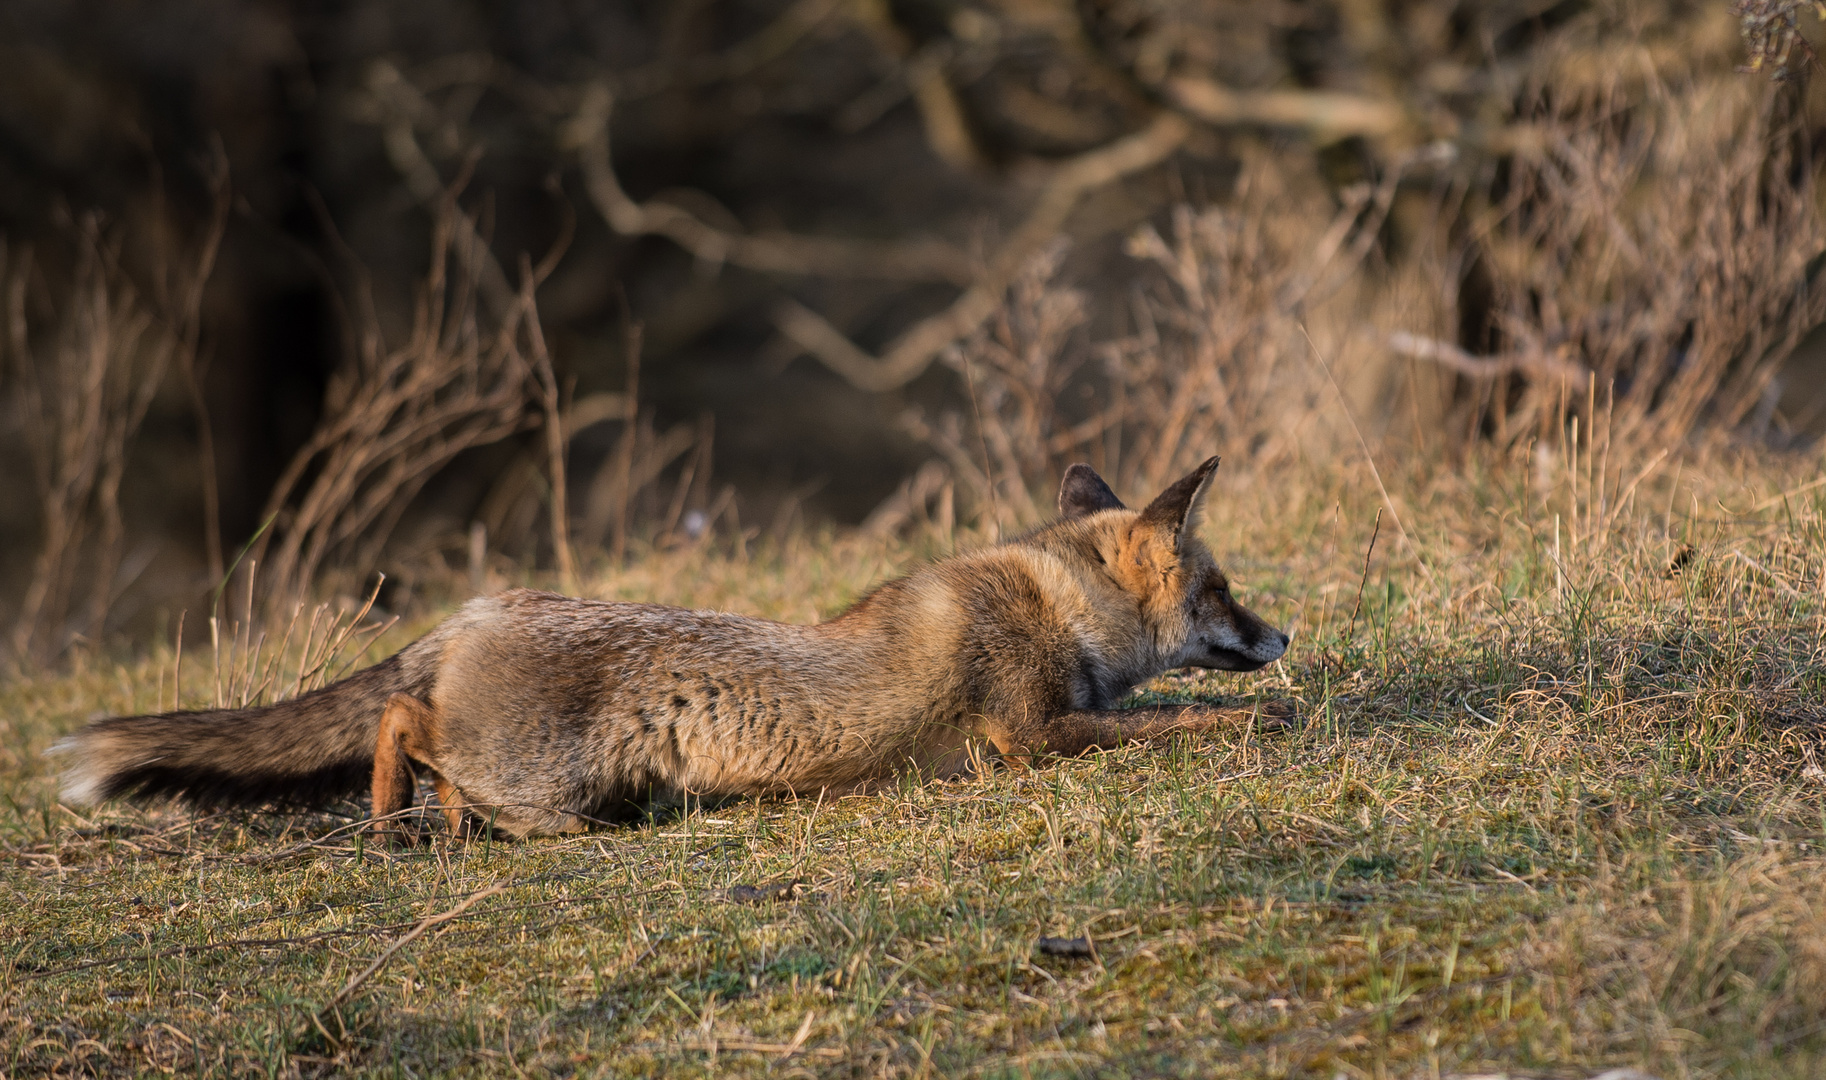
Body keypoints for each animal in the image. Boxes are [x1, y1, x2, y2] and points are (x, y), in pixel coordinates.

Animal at [53, 455, 1285, 836]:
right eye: (1221, 590)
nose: (1282, 633)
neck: (1052, 603)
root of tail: (474, 610)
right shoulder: (1028, 736)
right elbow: (1176, 715)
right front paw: (1256, 711)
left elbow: (1155, 710)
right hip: (541, 780)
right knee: (404, 719)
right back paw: (396, 807)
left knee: (422, 737)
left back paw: (428, 818)